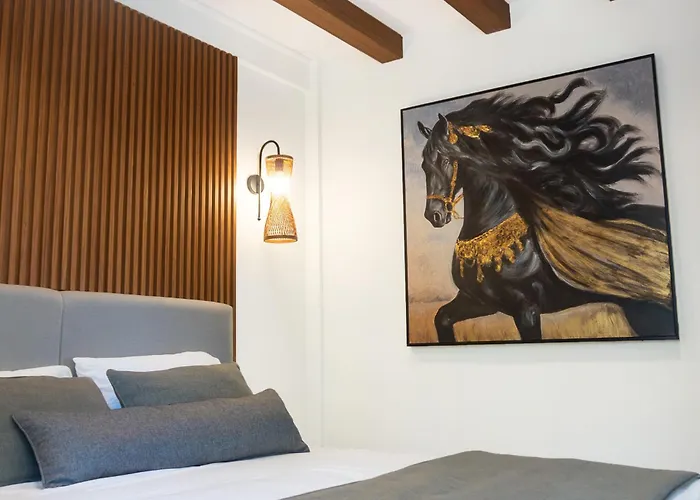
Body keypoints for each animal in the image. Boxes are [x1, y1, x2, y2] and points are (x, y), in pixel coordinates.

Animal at [415, 77, 676, 343]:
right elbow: (441, 318)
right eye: (424, 164)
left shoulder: (526, 310)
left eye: (445, 160)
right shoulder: (479, 301)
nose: (434, 215)